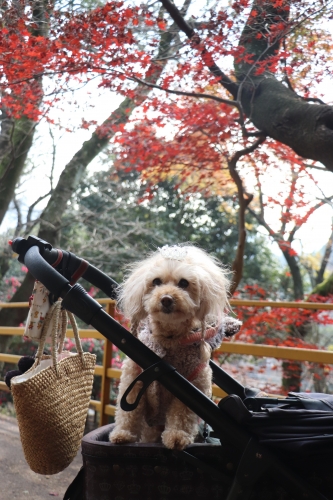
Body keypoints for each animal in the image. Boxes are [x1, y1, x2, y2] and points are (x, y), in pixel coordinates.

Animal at [110, 244, 237, 452]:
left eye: (184, 283)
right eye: (156, 281)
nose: (167, 299)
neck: (169, 338)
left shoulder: (194, 385)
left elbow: (182, 413)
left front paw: (177, 437)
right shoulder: (134, 377)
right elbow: (129, 412)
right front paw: (123, 434)